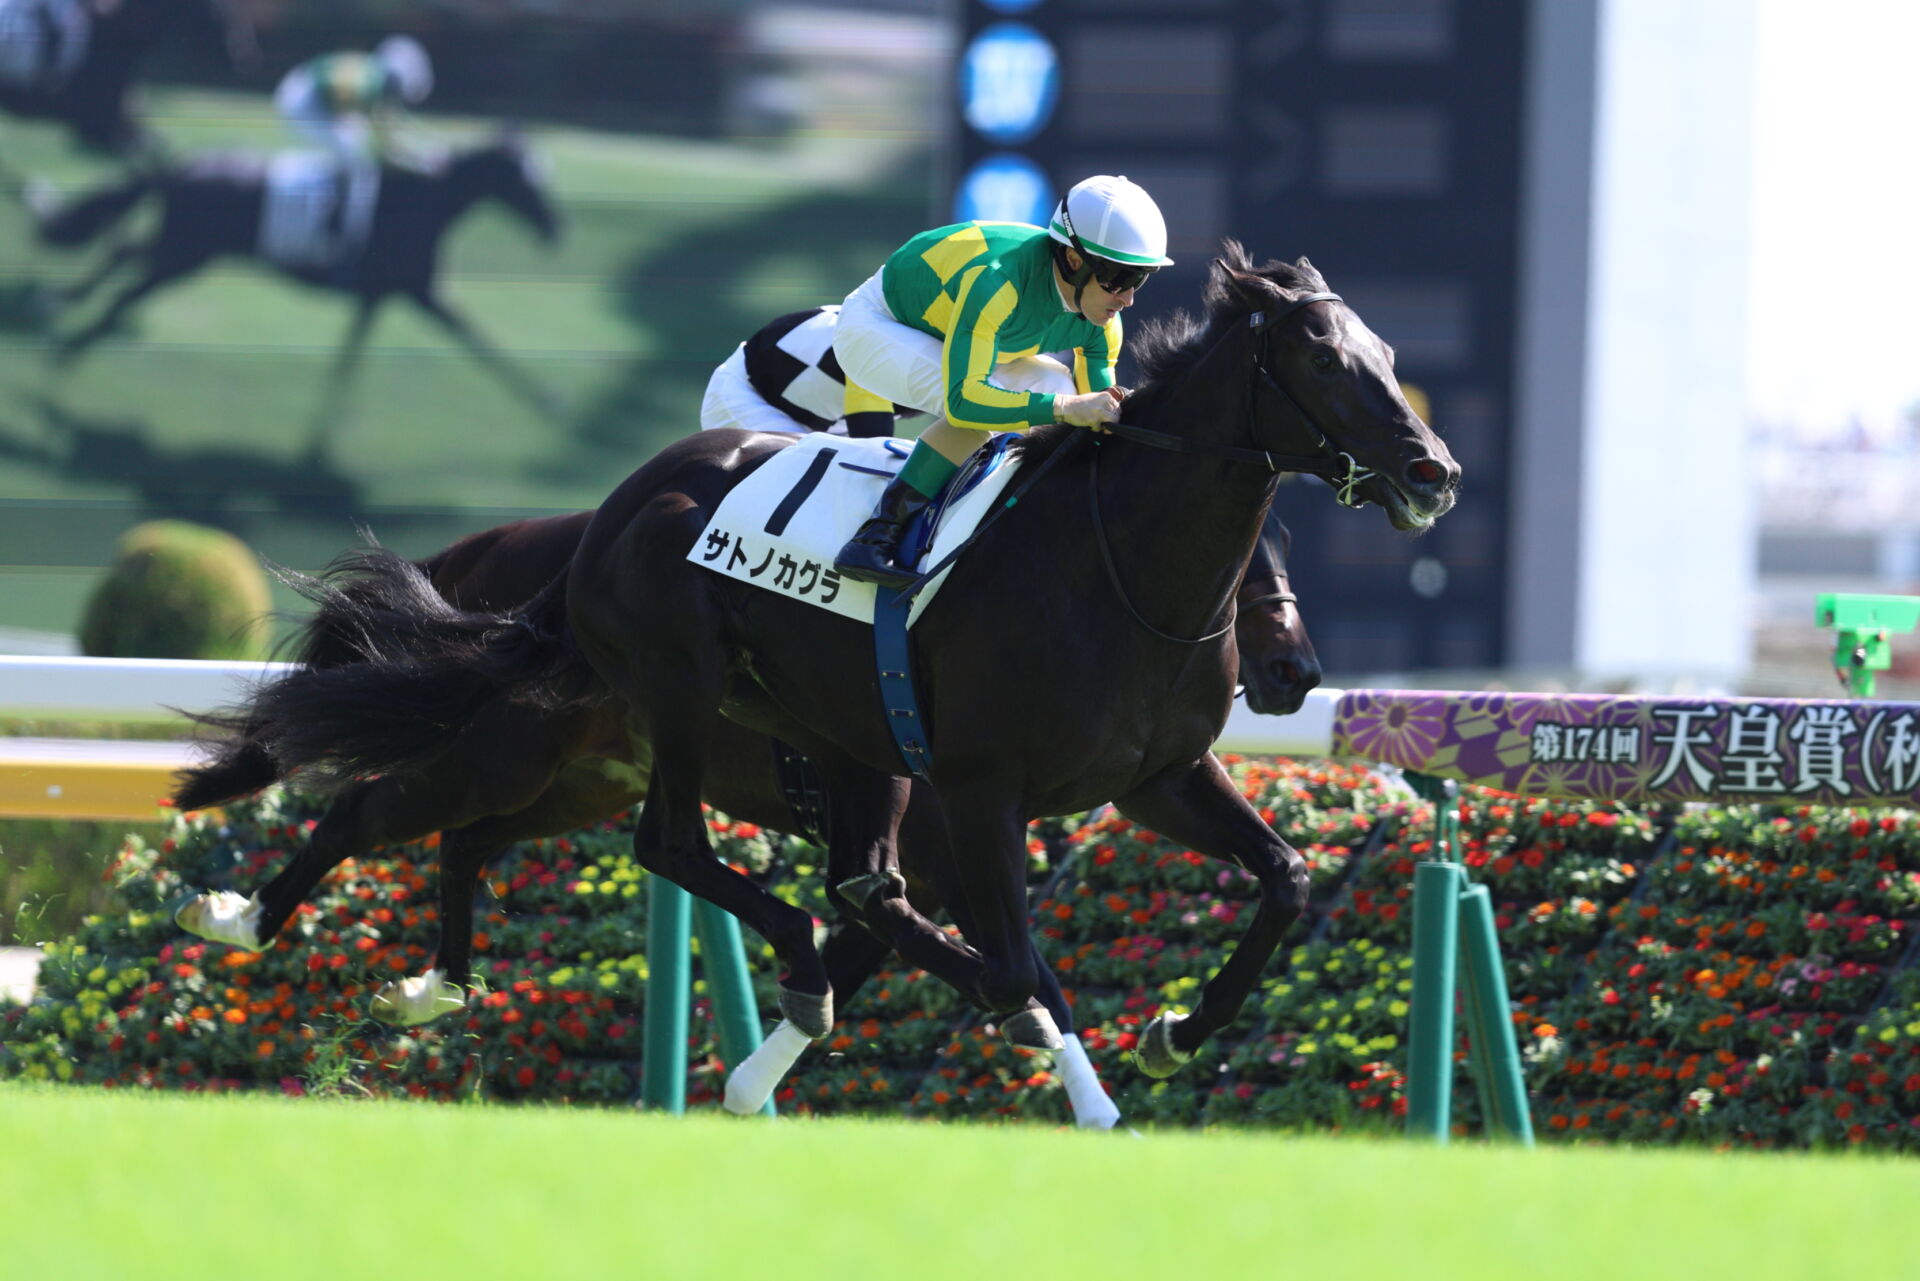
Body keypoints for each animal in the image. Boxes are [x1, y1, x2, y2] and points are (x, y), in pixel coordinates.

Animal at [29, 128, 561, 455]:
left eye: (542, 172)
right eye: (526, 177)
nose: (556, 227)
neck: (425, 202)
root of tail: (180, 166)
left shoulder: (381, 297)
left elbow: (350, 357)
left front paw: (326, 427)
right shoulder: (420, 295)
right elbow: (480, 342)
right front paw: (546, 400)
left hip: (181, 250)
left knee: (124, 251)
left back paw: (62, 309)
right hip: (186, 255)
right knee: (126, 281)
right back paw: (67, 350)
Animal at [173, 499, 1319, 1124]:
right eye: (1244, 561)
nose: (1293, 672)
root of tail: (484, 557)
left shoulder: (919, 862)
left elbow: (893, 953)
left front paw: (754, 1075)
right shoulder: (949, 841)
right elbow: (1008, 967)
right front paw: (1095, 1095)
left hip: (584, 776)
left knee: (465, 841)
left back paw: (433, 986)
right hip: (505, 754)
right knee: (367, 816)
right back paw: (241, 919)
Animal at [207, 243, 1454, 1078]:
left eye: (1389, 354)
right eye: (1325, 361)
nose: (1432, 470)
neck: (1114, 571)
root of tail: (600, 521)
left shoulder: (1156, 777)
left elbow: (1284, 881)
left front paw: (1176, 1029)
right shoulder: (978, 792)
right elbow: (1009, 961)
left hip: (592, 769)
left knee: (476, 841)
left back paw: (436, 986)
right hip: (627, 707)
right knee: (494, 826)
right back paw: (241, 921)